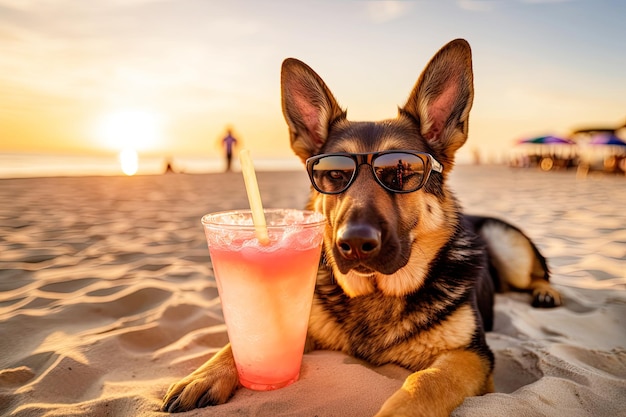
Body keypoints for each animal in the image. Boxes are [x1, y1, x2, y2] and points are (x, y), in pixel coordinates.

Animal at [162, 38, 560, 412]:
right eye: (335, 174)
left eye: (401, 170)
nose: (353, 243)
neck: (378, 294)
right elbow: (241, 343)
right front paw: (206, 373)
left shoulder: (471, 356)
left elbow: (427, 381)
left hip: (507, 245)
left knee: (537, 275)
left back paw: (546, 293)